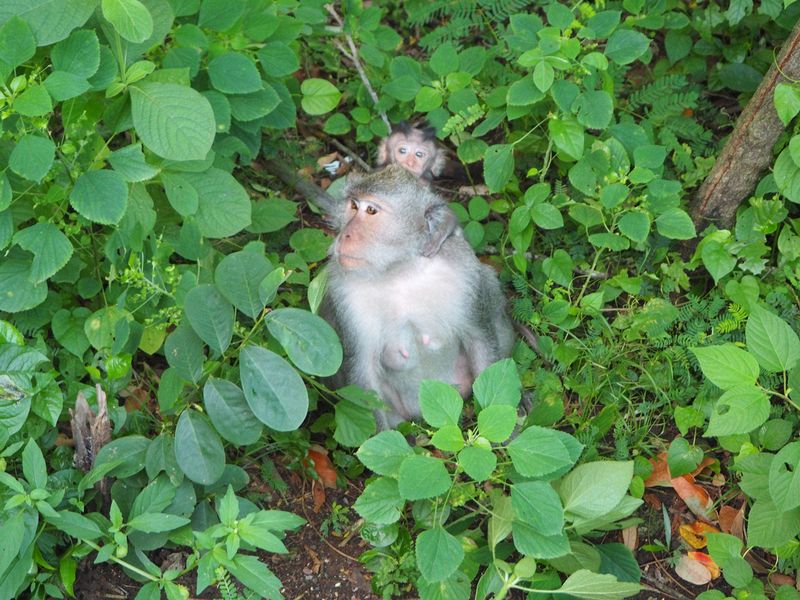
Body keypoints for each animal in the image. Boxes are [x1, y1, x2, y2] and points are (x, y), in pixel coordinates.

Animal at [322, 164, 516, 428]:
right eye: (353, 205)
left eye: (371, 210)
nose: (345, 235)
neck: (399, 271)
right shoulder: (344, 294)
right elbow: (364, 378)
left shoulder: (463, 270)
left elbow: (480, 342)